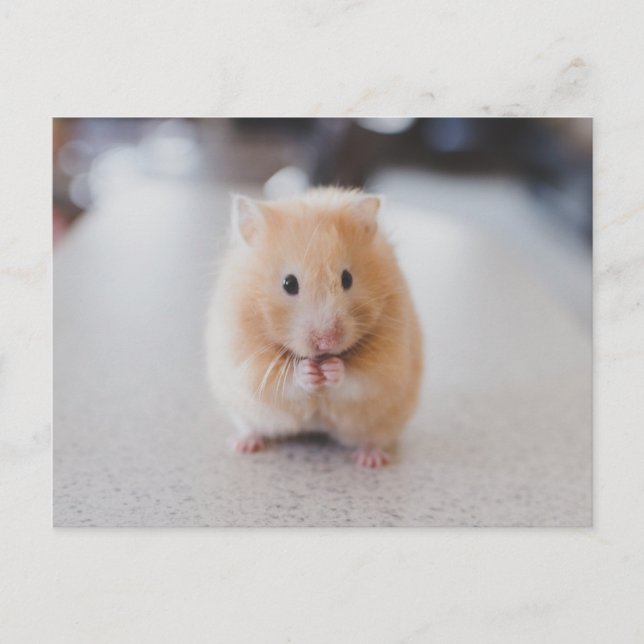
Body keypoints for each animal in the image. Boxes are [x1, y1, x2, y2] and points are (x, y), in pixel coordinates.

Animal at [205, 187, 422, 467]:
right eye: (289, 283)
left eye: (347, 279)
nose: (326, 342)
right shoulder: (246, 359)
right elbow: (281, 380)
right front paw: (308, 372)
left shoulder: (388, 361)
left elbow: (359, 378)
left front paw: (332, 369)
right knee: (252, 427)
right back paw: (243, 445)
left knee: (373, 439)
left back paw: (370, 460)